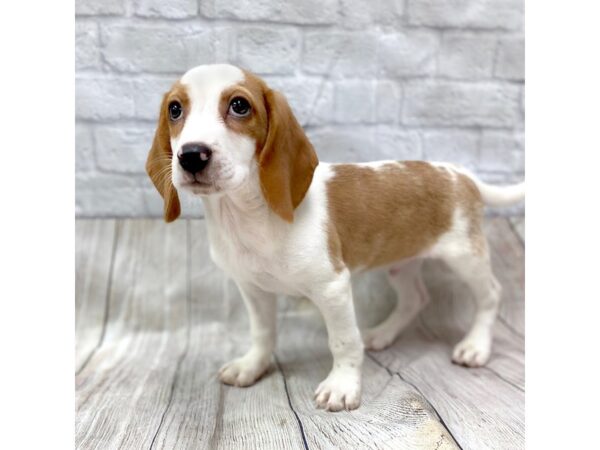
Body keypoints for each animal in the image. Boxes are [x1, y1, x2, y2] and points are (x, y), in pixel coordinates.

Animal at [145, 63, 524, 412]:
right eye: (175, 109)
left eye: (239, 105)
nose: (191, 155)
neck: (250, 217)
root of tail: (460, 174)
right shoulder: (253, 289)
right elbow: (262, 333)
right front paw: (252, 366)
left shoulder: (333, 288)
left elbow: (343, 341)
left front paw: (342, 385)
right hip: (402, 263)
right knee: (415, 298)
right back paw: (383, 333)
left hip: (465, 257)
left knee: (491, 294)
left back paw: (475, 346)